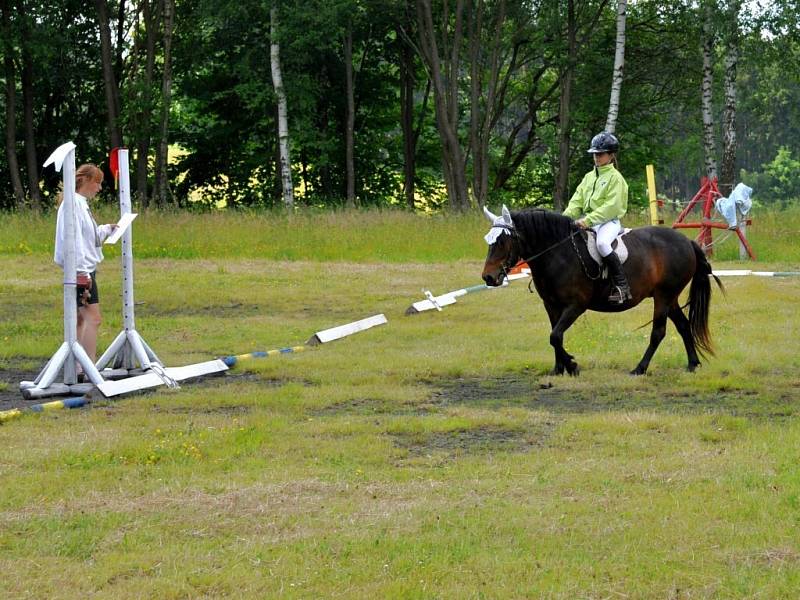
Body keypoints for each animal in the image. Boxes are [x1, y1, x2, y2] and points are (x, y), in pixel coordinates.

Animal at [482, 206, 724, 376]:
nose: (488, 277)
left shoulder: (575, 306)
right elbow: (555, 336)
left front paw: (572, 366)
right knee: (683, 325)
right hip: (669, 298)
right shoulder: (551, 305)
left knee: (658, 332)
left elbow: (555, 336)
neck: (558, 254)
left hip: (664, 297)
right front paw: (559, 369)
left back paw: (640, 368)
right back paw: (692, 364)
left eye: (502, 241)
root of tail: (687, 242)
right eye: (489, 241)